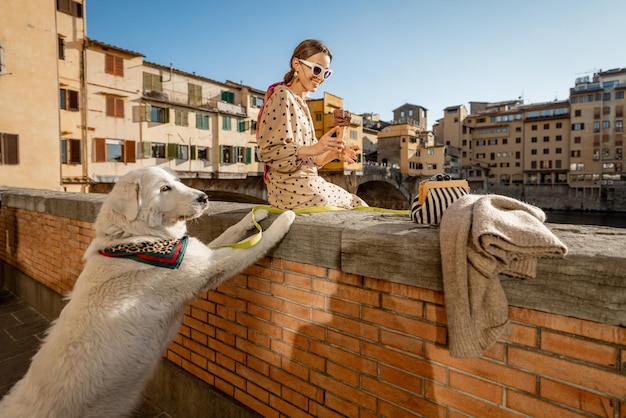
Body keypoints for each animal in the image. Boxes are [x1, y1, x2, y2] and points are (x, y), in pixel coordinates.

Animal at [0, 167, 294, 418]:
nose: (204, 197)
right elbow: (258, 244)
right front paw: (286, 216)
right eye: (165, 188)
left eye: (176, 182)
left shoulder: (199, 252)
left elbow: (232, 231)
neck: (134, 238)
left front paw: (257, 216)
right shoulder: (210, 266)